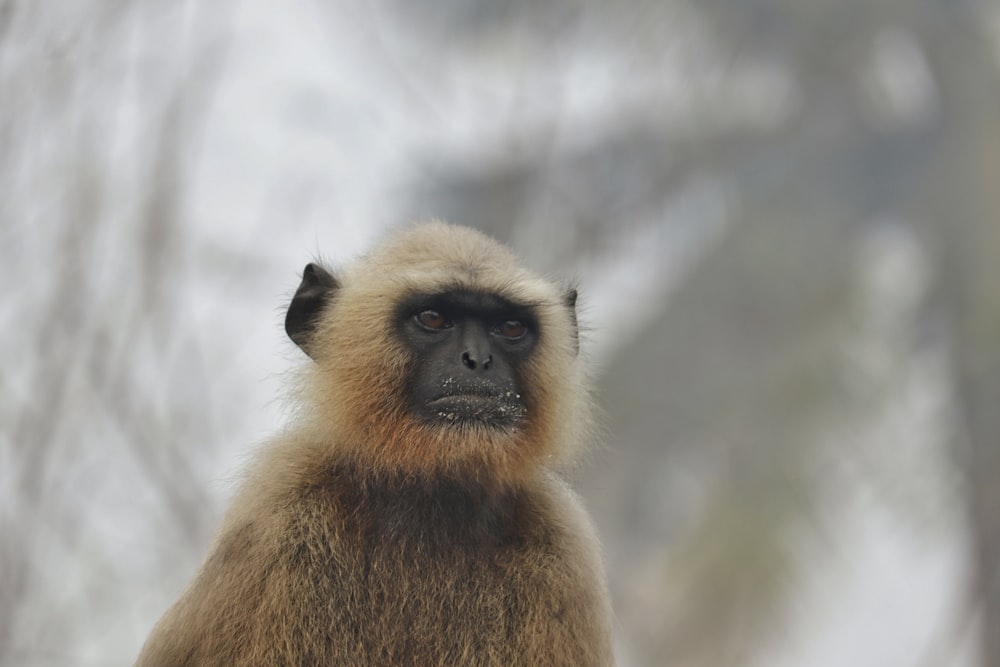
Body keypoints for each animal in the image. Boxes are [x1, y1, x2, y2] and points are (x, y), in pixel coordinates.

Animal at [137, 222, 612, 664]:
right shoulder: (272, 523)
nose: (478, 361)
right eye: (433, 318)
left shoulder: (561, 547)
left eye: (510, 327)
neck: (428, 498)